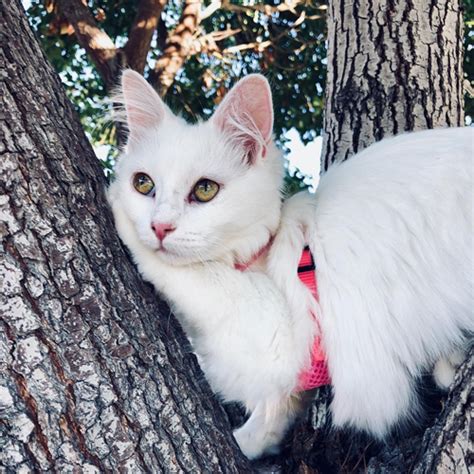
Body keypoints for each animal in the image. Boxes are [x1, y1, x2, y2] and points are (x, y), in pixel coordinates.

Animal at [108, 70, 474, 460]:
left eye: (205, 190)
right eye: (143, 184)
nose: (159, 227)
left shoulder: (279, 334)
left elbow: (196, 275)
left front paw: (112, 202)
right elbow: (275, 410)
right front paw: (249, 443)